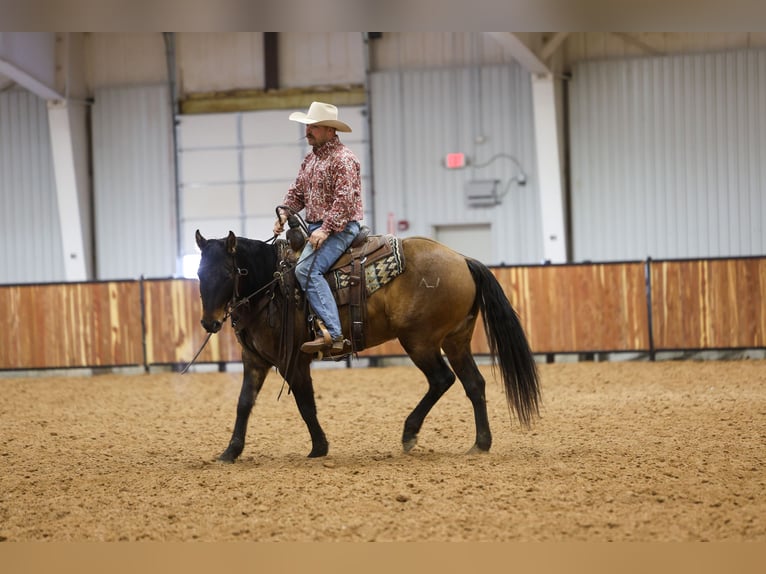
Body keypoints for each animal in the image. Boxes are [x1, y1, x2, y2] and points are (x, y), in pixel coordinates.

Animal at [194, 229, 541, 462]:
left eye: (228, 272)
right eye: (198, 273)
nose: (209, 323)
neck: (272, 285)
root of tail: (463, 259)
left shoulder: (293, 360)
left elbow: (306, 404)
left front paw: (319, 448)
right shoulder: (254, 360)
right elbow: (244, 403)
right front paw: (230, 451)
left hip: (419, 341)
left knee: (442, 380)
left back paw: (409, 433)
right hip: (455, 341)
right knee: (474, 384)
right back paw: (480, 444)